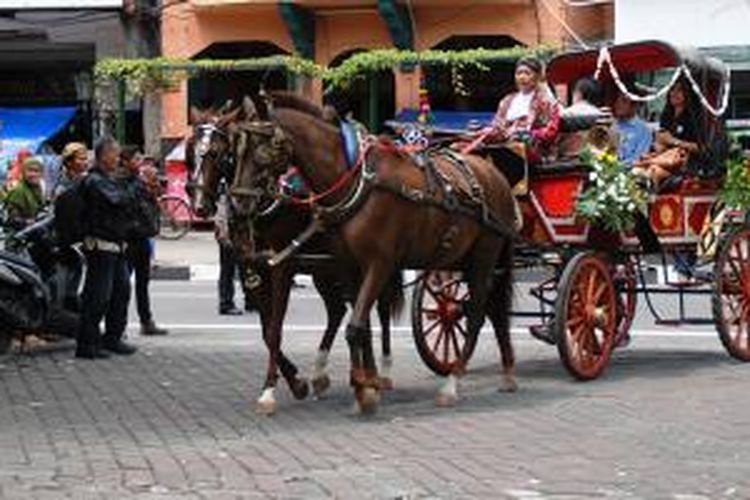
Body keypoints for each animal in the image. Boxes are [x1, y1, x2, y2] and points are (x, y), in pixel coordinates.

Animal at [189, 105, 406, 414]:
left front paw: (274, 389)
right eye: (190, 150)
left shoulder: (283, 267)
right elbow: (268, 331)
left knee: (380, 309)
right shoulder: (253, 270)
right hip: (326, 271)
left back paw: (381, 373)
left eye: (219, 152)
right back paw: (322, 374)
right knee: (340, 310)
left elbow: (275, 329)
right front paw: (294, 381)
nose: (199, 206)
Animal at [232, 92, 520, 412]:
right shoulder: (347, 265)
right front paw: (367, 384)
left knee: (477, 315)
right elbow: (359, 326)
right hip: (464, 260)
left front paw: (363, 386)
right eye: (236, 150)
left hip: (483, 257)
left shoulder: (379, 263)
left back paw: (452, 383)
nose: (238, 204)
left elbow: (355, 326)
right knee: (492, 311)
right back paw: (506, 372)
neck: (356, 181)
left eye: (261, 150)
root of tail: (495, 175)